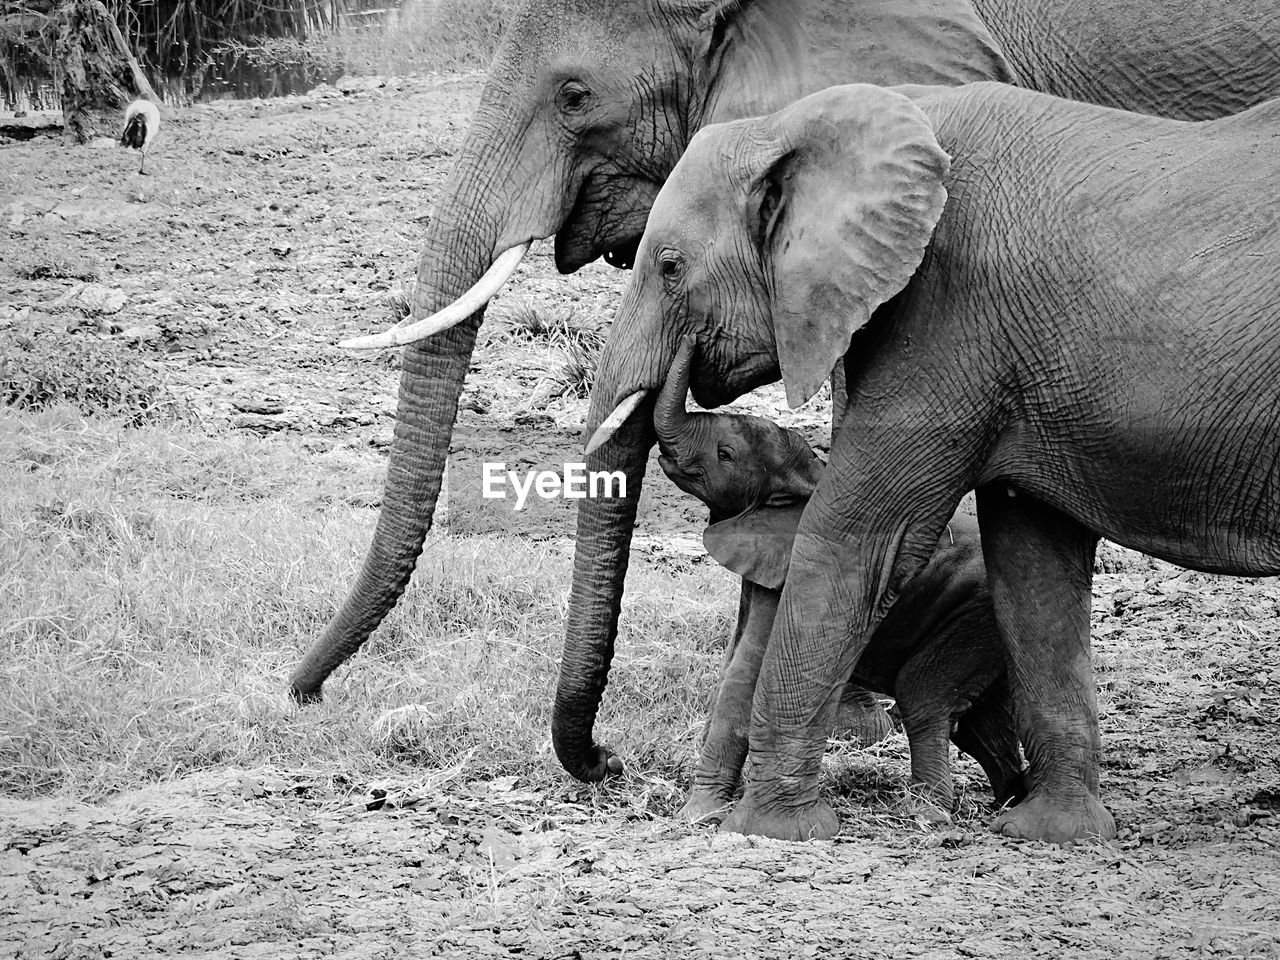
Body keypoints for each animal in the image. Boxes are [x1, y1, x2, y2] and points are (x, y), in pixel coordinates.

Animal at [655, 335, 1024, 824]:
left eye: (726, 455)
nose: (691, 339)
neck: (807, 477)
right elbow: (733, 659)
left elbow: (743, 676)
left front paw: (700, 815)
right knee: (982, 723)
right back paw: (1011, 802)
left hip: (971, 614)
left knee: (925, 699)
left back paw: (928, 814)